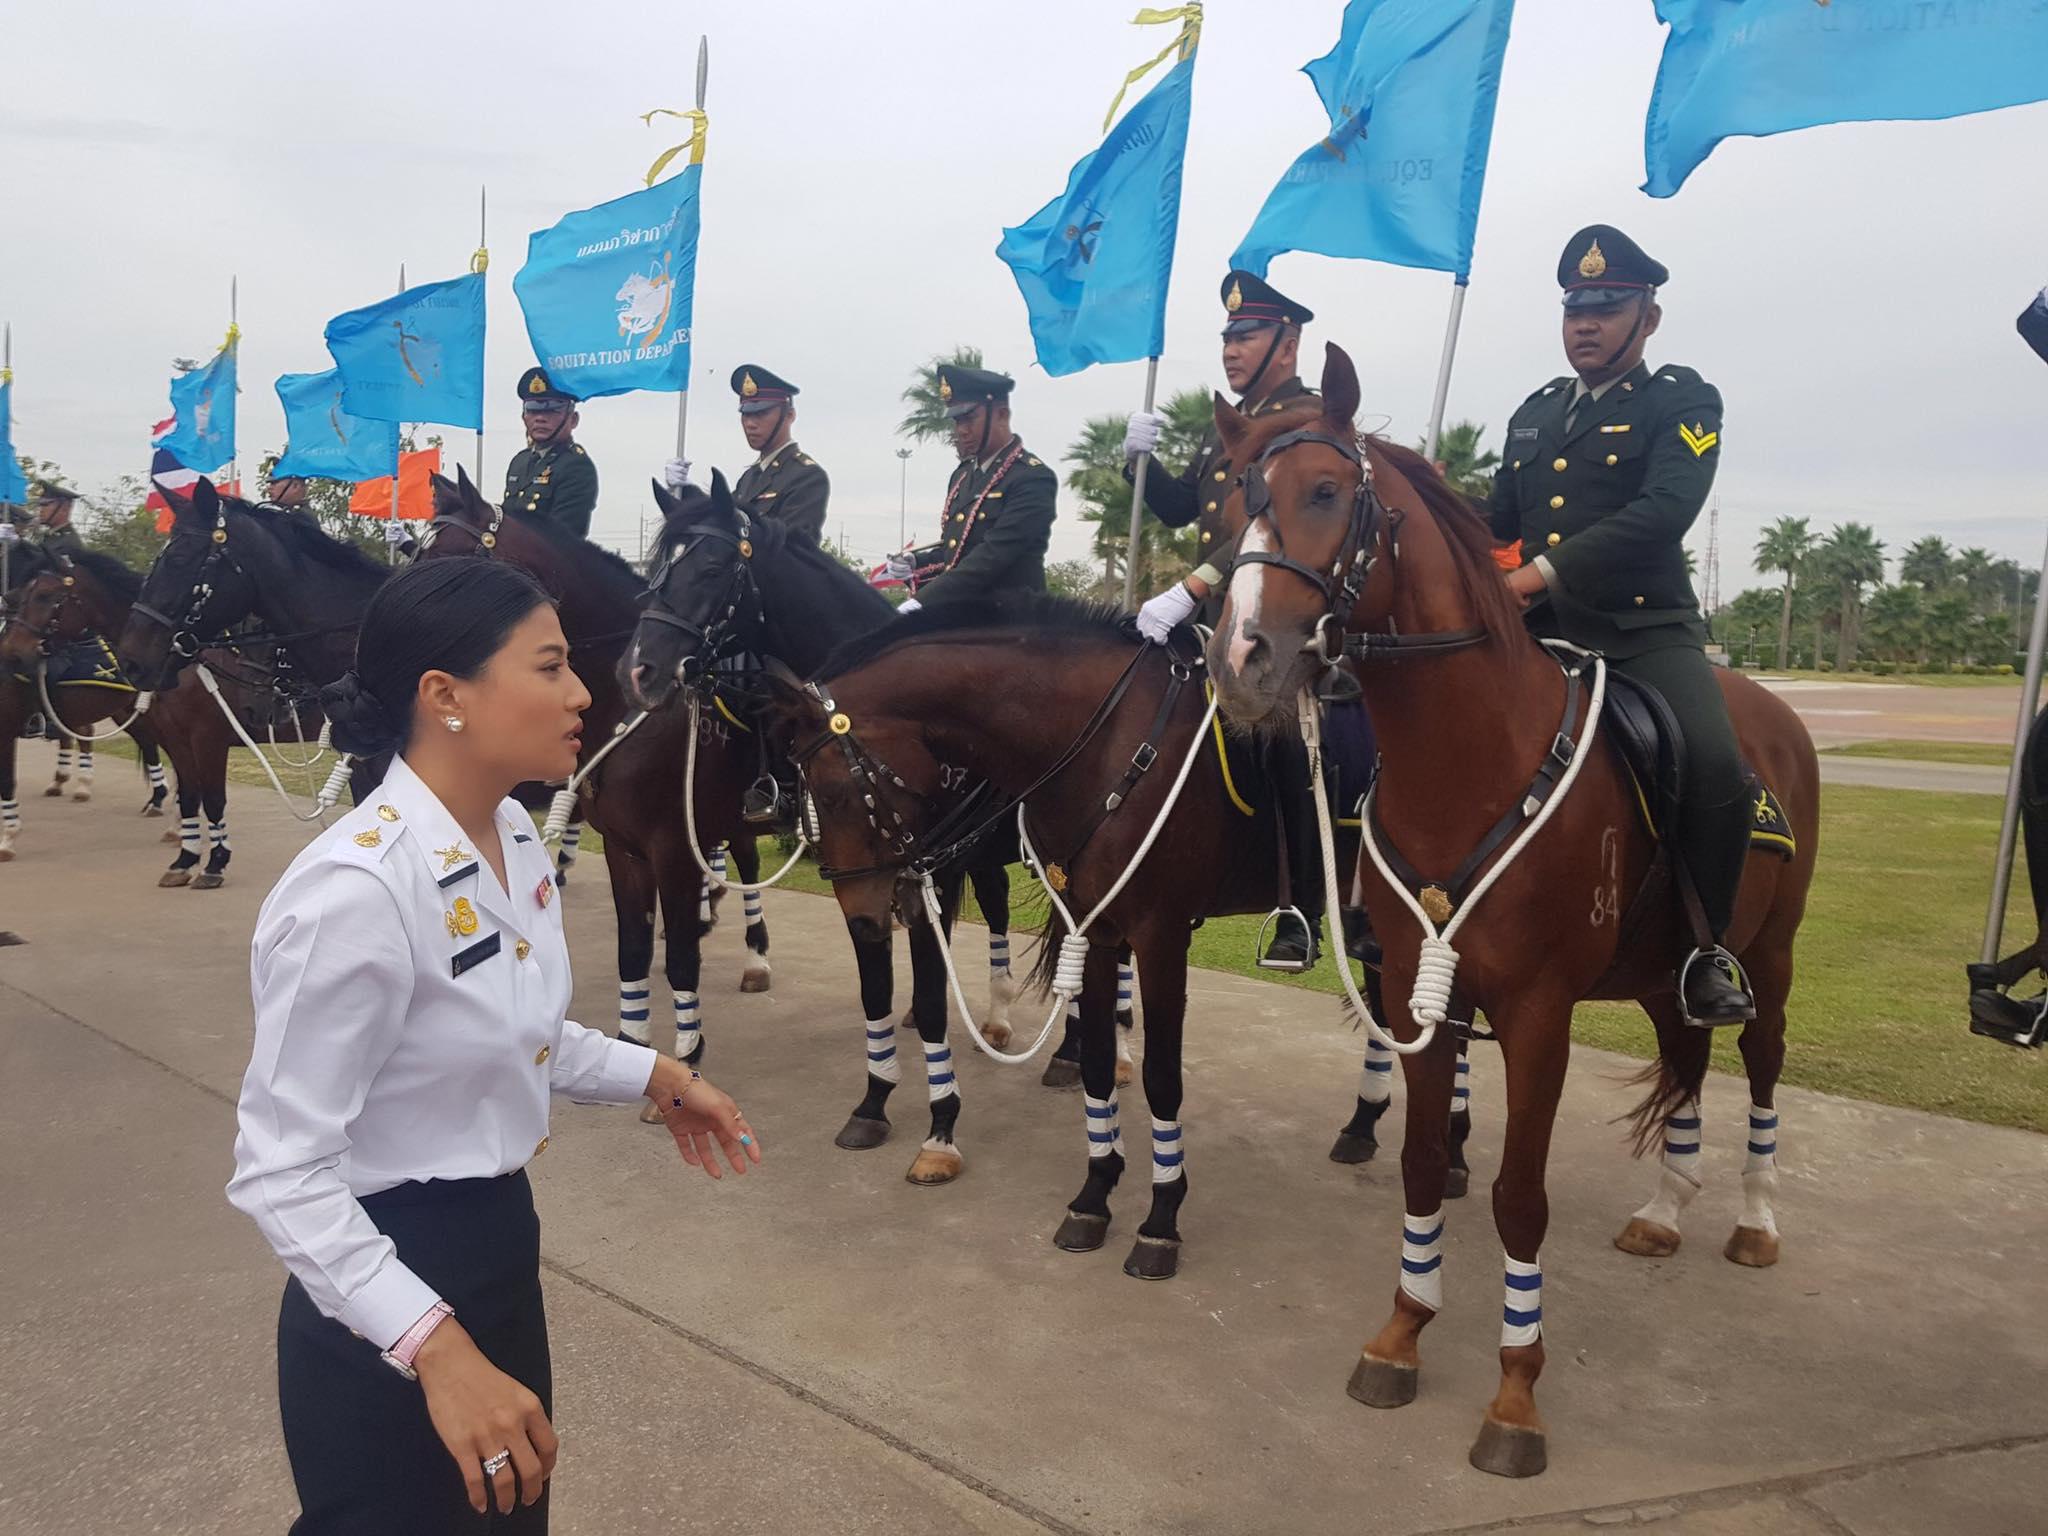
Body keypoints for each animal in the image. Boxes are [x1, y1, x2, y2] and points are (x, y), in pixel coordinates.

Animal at [614, 481, 1015, 1187]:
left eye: (711, 569)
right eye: (656, 569)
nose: (639, 672)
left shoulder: (933, 872)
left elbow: (933, 996)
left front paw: (940, 1130)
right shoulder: (860, 876)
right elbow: (875, 985)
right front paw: (874, 1103)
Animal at [1204, 346, 1818, 1482]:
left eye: (1325, 492)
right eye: (1229, 503)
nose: (1242, 660)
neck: (1472, 754)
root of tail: (1769, 708)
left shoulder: (1536, 1012)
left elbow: (1517, 1196)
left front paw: (1514, 1393)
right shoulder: (1423, 993)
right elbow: (1416, 1161)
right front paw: (1401, 1333)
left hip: (1769, 952)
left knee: (1759, 1064)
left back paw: (1752, 1220)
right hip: (1663, 968)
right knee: (1686, 1055)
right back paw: (1664, 1208)